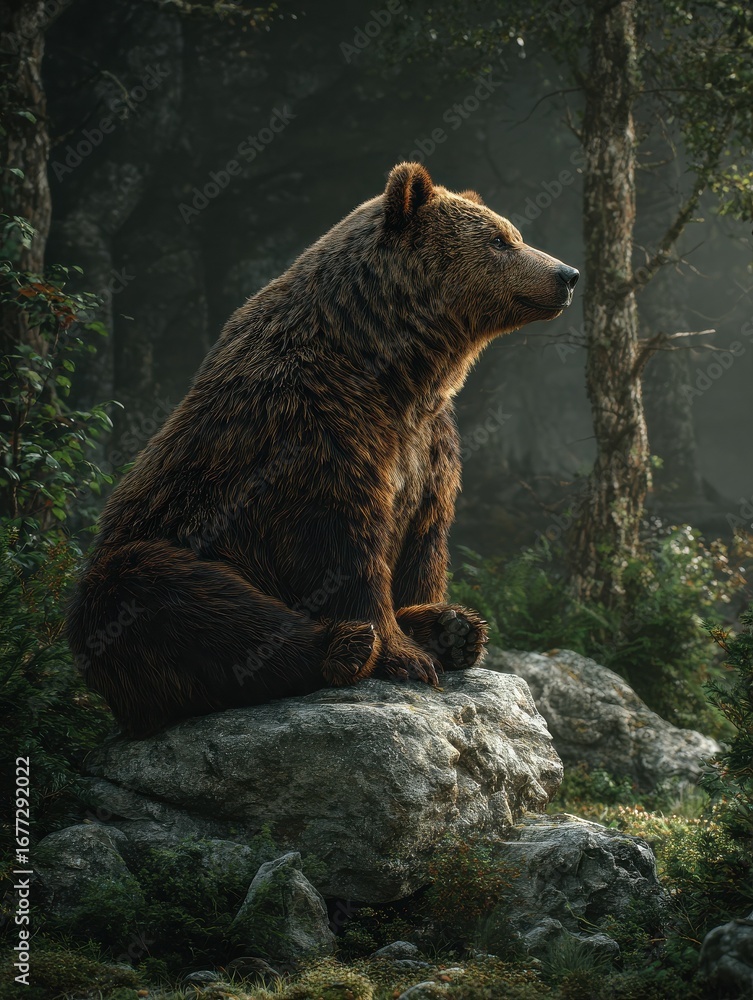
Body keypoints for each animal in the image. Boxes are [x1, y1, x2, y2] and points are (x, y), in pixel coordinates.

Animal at [67, 162, 579, 737]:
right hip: (155, 550)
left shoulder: (428, 441)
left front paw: (440, 619)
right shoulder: (311, 428)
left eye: (513, 233)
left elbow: (425, 535)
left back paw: (451, 628)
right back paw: (345, 645)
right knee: (164, 593)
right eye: (500, 240)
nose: (567, 273)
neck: (394, 366)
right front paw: (404, 653)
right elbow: (339, 543)